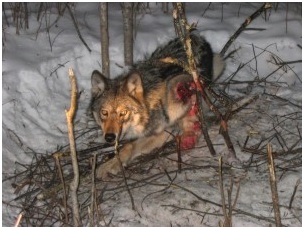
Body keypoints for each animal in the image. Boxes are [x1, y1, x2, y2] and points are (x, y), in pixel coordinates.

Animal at [89, 34, 223, 179]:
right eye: (104, 112)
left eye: (123, 113)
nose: (109, 137)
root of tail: (197, 36)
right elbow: (129, 146)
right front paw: (110, 164)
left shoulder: (164, 131)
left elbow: (129, 145)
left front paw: (109, 165)